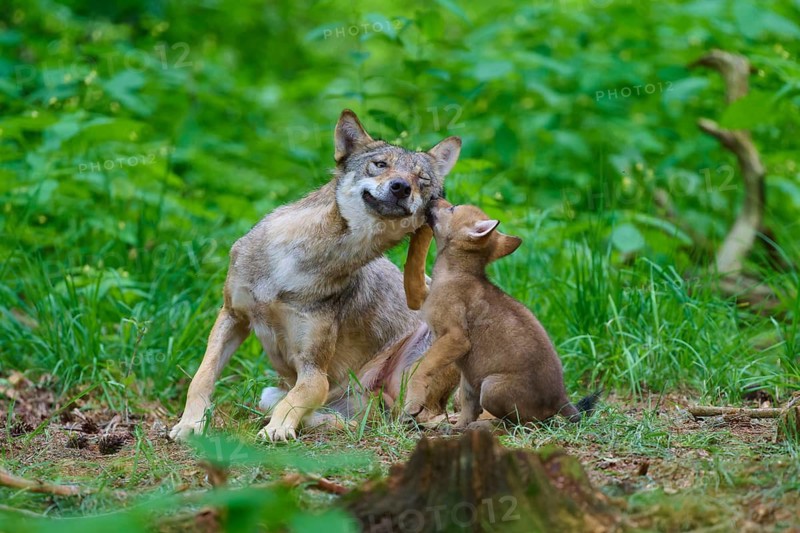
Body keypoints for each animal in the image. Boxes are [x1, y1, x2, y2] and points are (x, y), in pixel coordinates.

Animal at [169, 110, 461, 442]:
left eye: (422, 181)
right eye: (380, 165)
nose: (402, 187)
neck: (300, 262)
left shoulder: (313, 370)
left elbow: (294, 400)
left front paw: (277, 430)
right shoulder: (233, 316)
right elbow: (202, 376)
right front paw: (190, 424)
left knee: (403, 418)